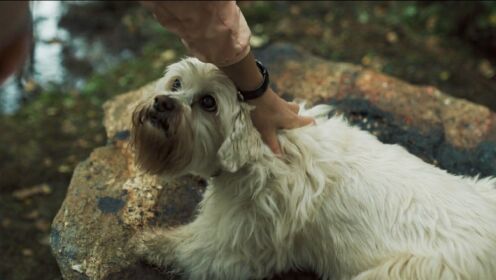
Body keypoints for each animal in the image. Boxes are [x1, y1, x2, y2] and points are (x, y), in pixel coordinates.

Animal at [130, 57, 496, 280]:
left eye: (208, 103)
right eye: (176, 83)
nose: (162, 102)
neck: (265, 149)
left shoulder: (236, 246)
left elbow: (189, 248)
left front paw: (151, 243)